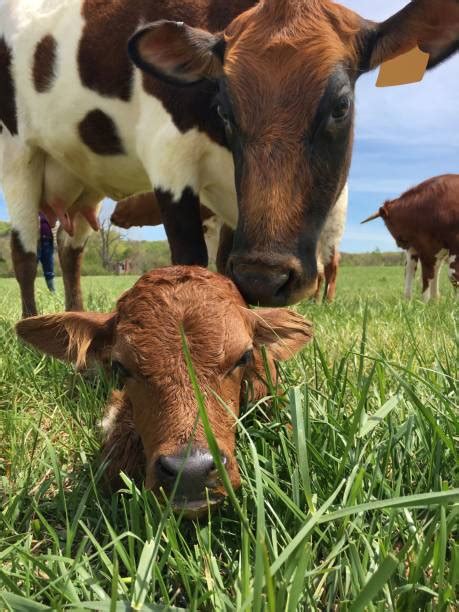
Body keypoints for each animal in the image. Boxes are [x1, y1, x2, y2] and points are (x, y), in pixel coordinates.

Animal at [0, 0, 459, 316]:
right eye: (223, 107)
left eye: (341, 106)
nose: (265, 276)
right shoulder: (169, 157)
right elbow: (192, 261)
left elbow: (224, 268)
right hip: (18, 154)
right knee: (23, 251)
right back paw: (31, 328)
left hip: (81, 182)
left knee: (69, 250)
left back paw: (74, 316)